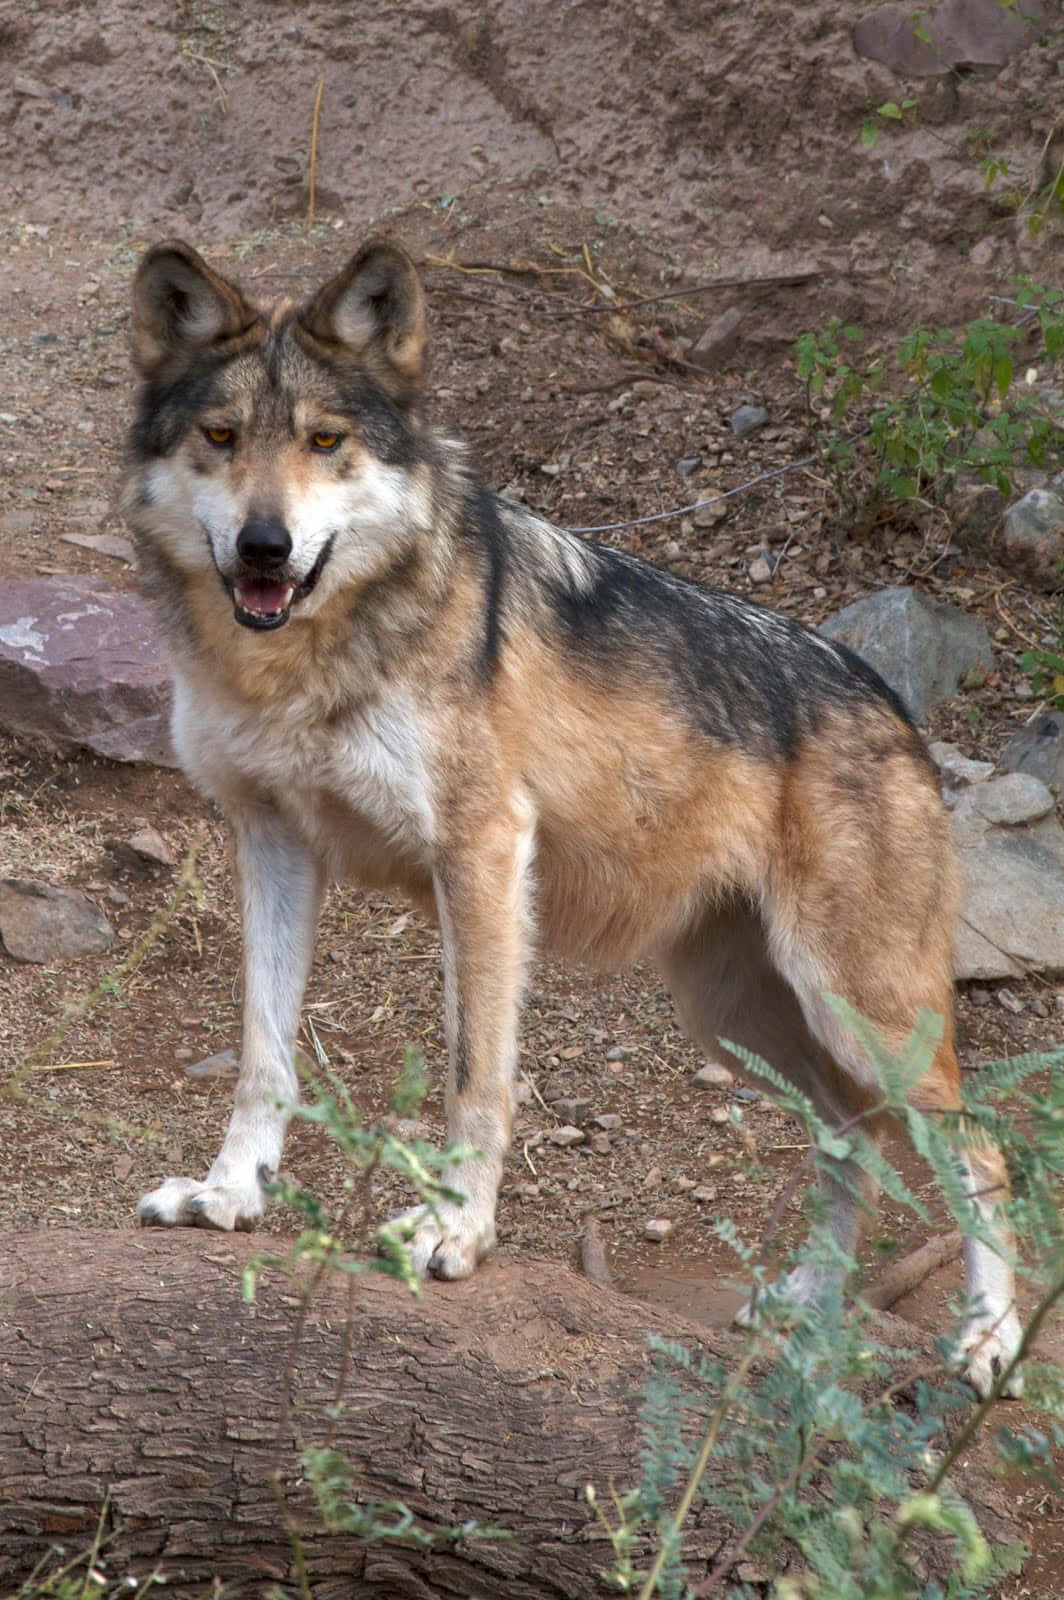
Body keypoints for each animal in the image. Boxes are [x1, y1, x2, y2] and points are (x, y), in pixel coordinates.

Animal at [123, 237, 1022, 1397]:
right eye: (222, 437)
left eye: (325, 442)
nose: (264, 546)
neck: (300, 662)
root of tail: (889, 701)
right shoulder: (273, 842)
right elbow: (262, 1052)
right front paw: (227, 1195)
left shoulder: (483, 854)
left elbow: (475, 1076)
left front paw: (454, 1233)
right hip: (746, 1020)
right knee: (852, 1145)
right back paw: (807, 1312)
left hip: (860, 1014)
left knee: (982, 1147)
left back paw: (988, 1337)